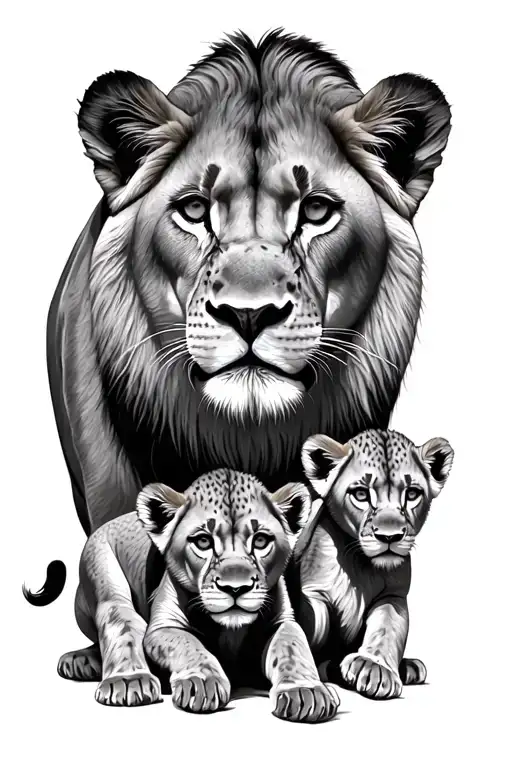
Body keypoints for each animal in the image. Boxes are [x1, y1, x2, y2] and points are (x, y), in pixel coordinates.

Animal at [57, 468, 339, 722]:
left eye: (260, 541)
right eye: (203, 541)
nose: (235, 588)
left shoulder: (282, 622)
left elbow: (292, 646)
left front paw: (306, 690)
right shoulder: (164, 626)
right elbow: (188, 644)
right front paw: (202, 682)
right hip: (102, 570)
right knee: (120, 619)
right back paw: (124, 678)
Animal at [287, 428, 454, 699]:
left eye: (412, 494)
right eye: (361, 494)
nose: (389, 537)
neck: (360, 565)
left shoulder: (393, 596)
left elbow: (386, 629)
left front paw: (375, 669)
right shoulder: (313, 594)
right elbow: (311, 623)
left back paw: (408, 667)